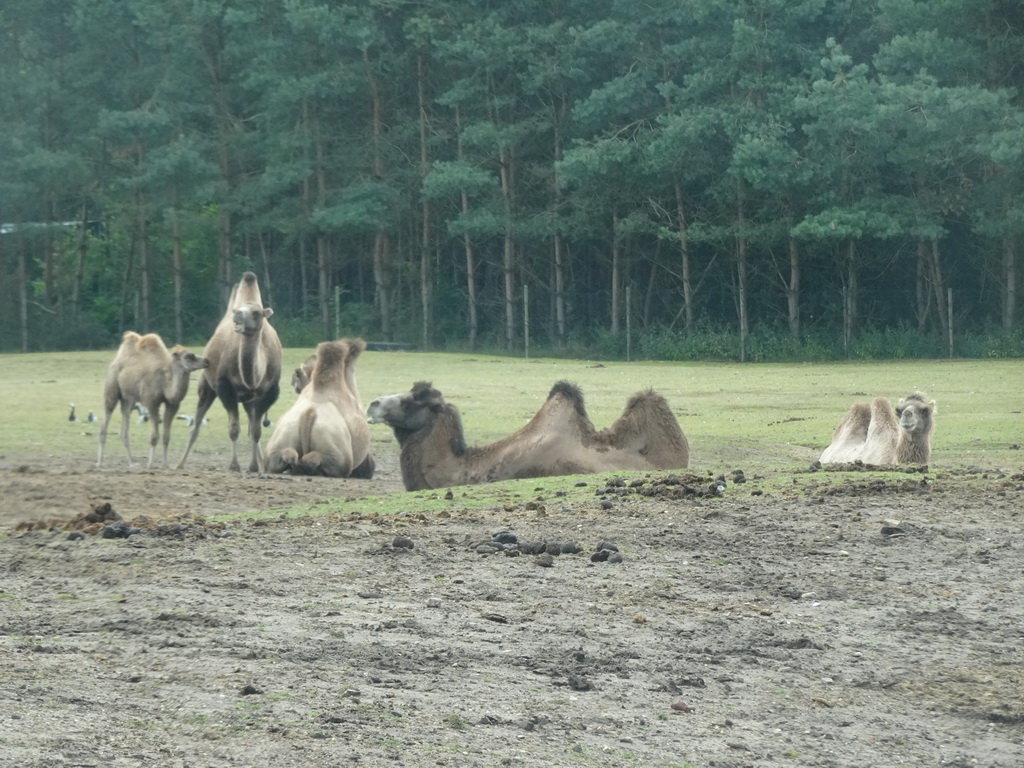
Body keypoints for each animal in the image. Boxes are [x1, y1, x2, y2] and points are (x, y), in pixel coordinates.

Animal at [96, 331, 208, 468]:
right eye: (189, 357)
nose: (206, 361)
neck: (165, 383)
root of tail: (116, 360)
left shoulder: (173, 405)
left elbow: (166, 437)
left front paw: (165, 464)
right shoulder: (152, 403)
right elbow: (154, 437)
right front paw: (150, 464)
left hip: (128, 399)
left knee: (125, 422)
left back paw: (132, 462)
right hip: (112, 388)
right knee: (106, 417)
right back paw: (100, 462)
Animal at [175, 270, 280, 475]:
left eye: (256, 313)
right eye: (238, 310)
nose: (238, 315)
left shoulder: (270, 392)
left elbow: (256, 431)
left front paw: (254, 467)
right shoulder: (226, 388)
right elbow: (234, 428)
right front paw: (234, 465)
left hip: (248, 400)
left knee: (252, 426)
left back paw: (261, 463)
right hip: (206, 388)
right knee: (196, 425)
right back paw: (180, 464)